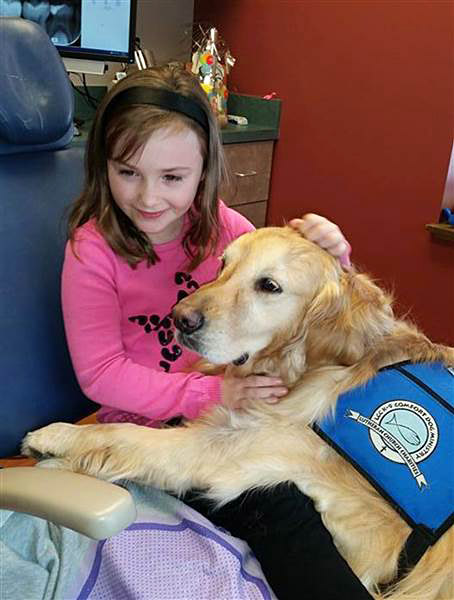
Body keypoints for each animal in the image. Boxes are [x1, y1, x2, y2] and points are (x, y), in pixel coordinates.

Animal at [23, 226, 452, 600]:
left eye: (269, 286)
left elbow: (130, 436)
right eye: (222, 264)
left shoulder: (230, 450)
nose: (180, 319)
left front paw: (56, 438)